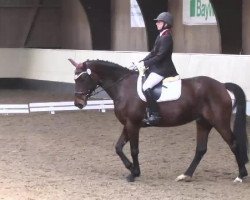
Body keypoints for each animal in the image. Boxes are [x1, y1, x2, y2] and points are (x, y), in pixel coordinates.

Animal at [68, 58, 248, 183]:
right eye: (75, 79)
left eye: (82, 78)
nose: (78, 104)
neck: (122, 87)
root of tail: (221, 85)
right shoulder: (128, 124)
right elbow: (118, 147)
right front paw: (131, 168)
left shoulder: (133, 124)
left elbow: (134, 150)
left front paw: (134, 173)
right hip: (203, 122)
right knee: (201, 149)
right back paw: (185, 175)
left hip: (220, 122)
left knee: (233, 143)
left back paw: (241, 176)